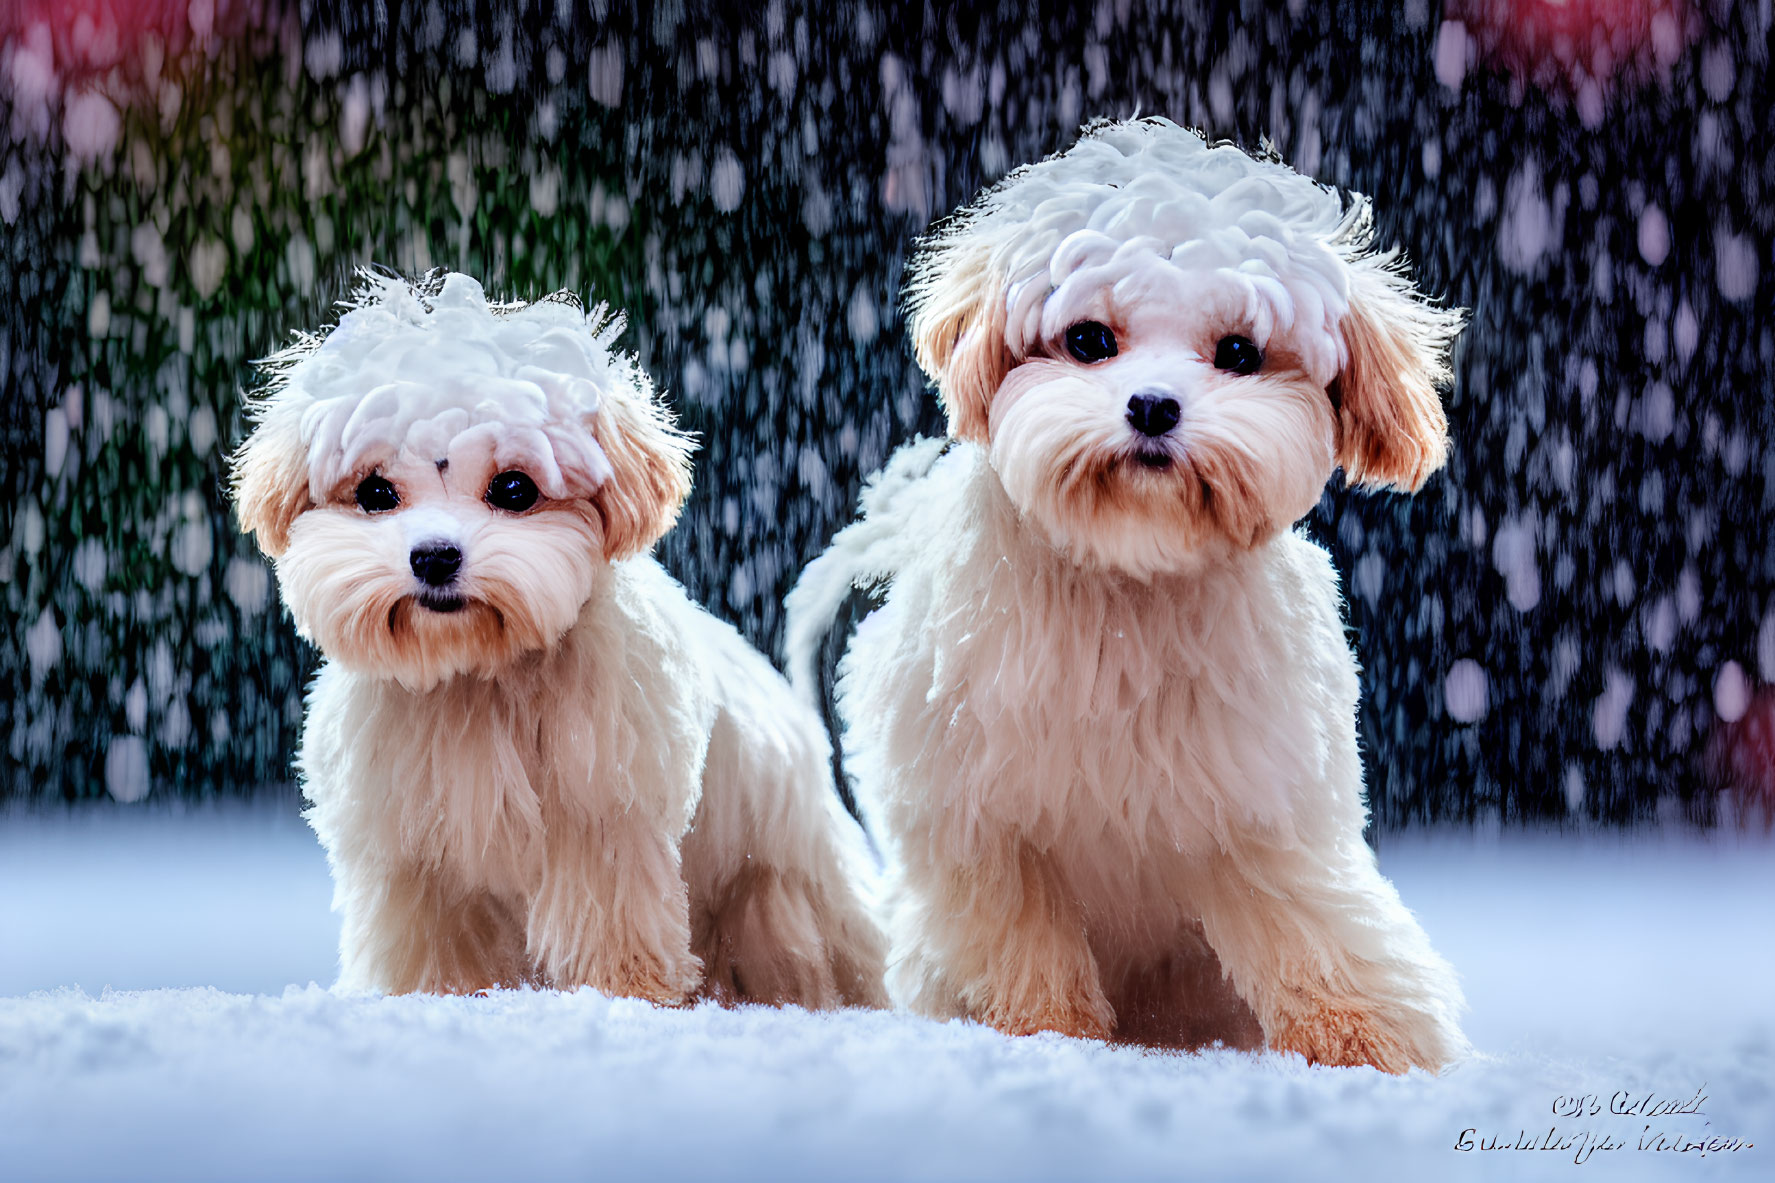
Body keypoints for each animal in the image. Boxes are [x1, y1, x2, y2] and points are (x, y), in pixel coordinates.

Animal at [236, 271, 887, 1008]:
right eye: (375, 493)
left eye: (513, 488)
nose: (433, 556)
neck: (479, 673)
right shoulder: (415, 857)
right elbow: (433, 943)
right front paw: (438, 996)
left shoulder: (606, 820)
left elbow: (610, 920)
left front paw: (622, 994)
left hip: (779, 887)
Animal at [791, 119, 1469, 1065]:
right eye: (1086, 340)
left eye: (1237, 353)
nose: (1151, 405)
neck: (1127, 581)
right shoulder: (978, 820)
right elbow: (1018, 937)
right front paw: (1046, 1034)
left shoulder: (1261, 796)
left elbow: (1307, 921)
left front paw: (1363, 1041)